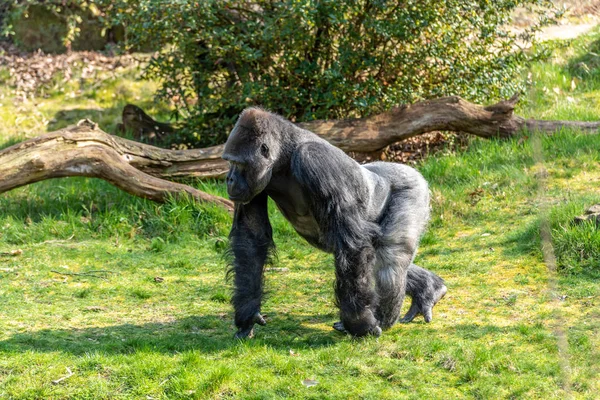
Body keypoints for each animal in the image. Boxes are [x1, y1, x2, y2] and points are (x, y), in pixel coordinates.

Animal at [221, 107, 446, 338]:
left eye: (238, 164)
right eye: (229, 162)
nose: (229, 179)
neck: (283, 158)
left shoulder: (314, 159)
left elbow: (352, 244)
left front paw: (360, 323)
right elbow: (251, 238)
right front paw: (248, 314)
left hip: (412, 186)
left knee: (389, 257)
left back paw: (385, 318)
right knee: (377, 257)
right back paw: (428, 289)